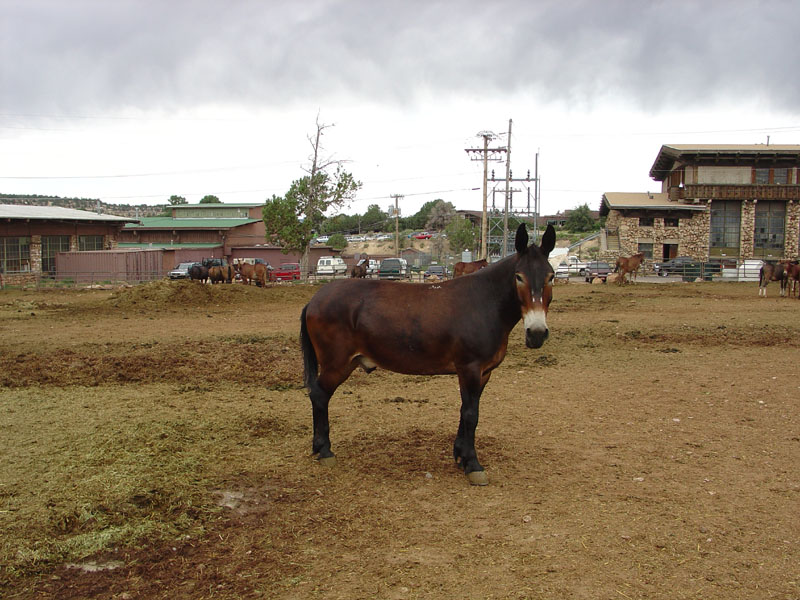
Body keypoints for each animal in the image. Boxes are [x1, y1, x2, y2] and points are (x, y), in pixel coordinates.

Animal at [300, 223, 556, 486]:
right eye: (519, 277)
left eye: (551, 277)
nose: (537, 333)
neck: (485, 303)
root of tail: (314, 300)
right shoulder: (470, 369)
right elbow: (471, 414)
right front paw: (473, 464)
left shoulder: (483, 373)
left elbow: (467, 411)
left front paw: (460, 455)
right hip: (337, 364)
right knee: (319, 395)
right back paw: (324, 450)